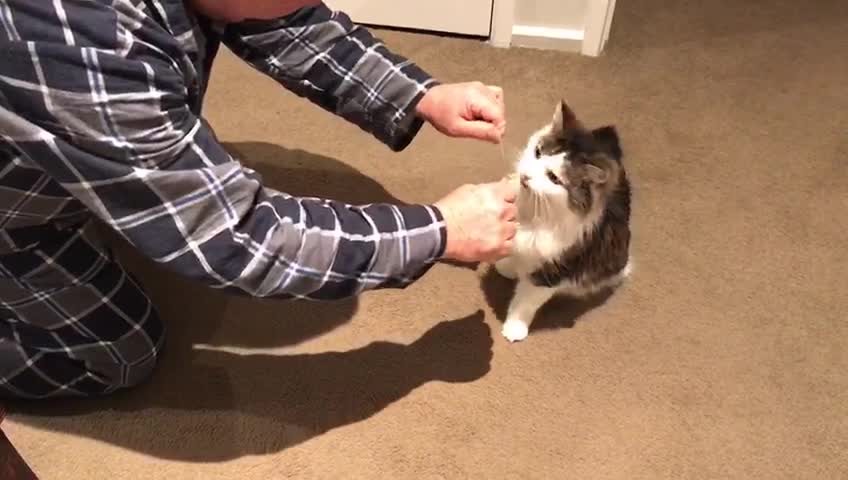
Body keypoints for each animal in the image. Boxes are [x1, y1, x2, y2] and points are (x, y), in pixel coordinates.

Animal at [496, 99, 628, 344]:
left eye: (554, 178)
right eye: (538, 152)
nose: (525, 176)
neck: (533, 208)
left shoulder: (553, 271)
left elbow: (524, 303)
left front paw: (514, 328)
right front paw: (506, 266)